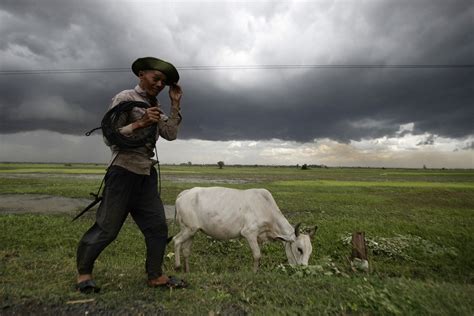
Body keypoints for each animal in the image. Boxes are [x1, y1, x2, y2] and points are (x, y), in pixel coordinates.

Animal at [172, 186, 316, 272]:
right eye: (299, 249)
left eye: (310, 251)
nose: (304, 268)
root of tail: (184, 193)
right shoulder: (249, 233)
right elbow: (257, 255)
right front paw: (254, 272)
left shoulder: (259, 238)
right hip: (188, 229)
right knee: (176, 240)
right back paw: (178, 266)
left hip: (192, 231)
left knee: (186, 250)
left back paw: (188, 270)